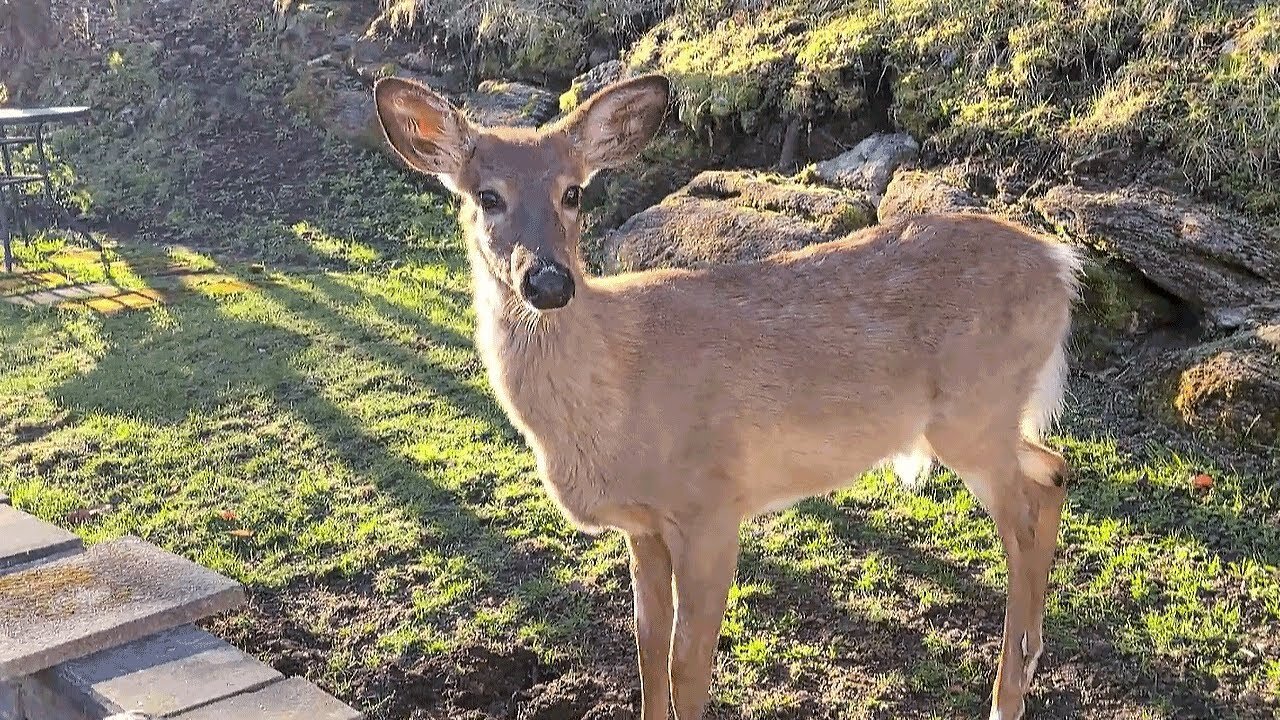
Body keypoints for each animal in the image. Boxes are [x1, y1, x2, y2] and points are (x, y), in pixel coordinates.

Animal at [371, 68, 1080, 717]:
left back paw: (1007, 694)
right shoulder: (643, 525)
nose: (548, 282)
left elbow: (687, 661)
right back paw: (1030, 657)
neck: (614, 396)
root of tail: (1061, 263)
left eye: (572, 191)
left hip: (975, 410)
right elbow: (647, 645)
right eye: (487, 196)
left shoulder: (710, 504)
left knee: (1021, 521)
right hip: (985, 419)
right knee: (1052, 471)